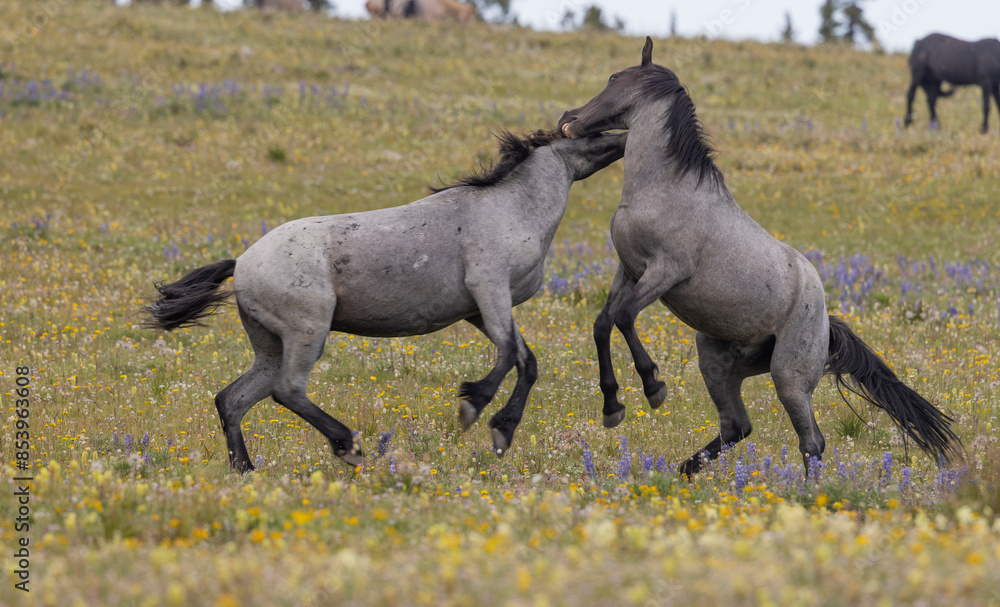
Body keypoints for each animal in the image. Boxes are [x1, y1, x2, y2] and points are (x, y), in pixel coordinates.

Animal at [560, 36, 956, 476]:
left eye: (614, 78)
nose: (569, 118)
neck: (662, 189)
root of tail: (826, 323)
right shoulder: (629, 270)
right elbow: (602, 323)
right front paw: (612, 406)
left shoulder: (665, 271)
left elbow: (625, 317)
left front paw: (654, 386)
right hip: (716, 361)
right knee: (737, 426)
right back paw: (684, 472)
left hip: (788, 377)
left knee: (812, 442)